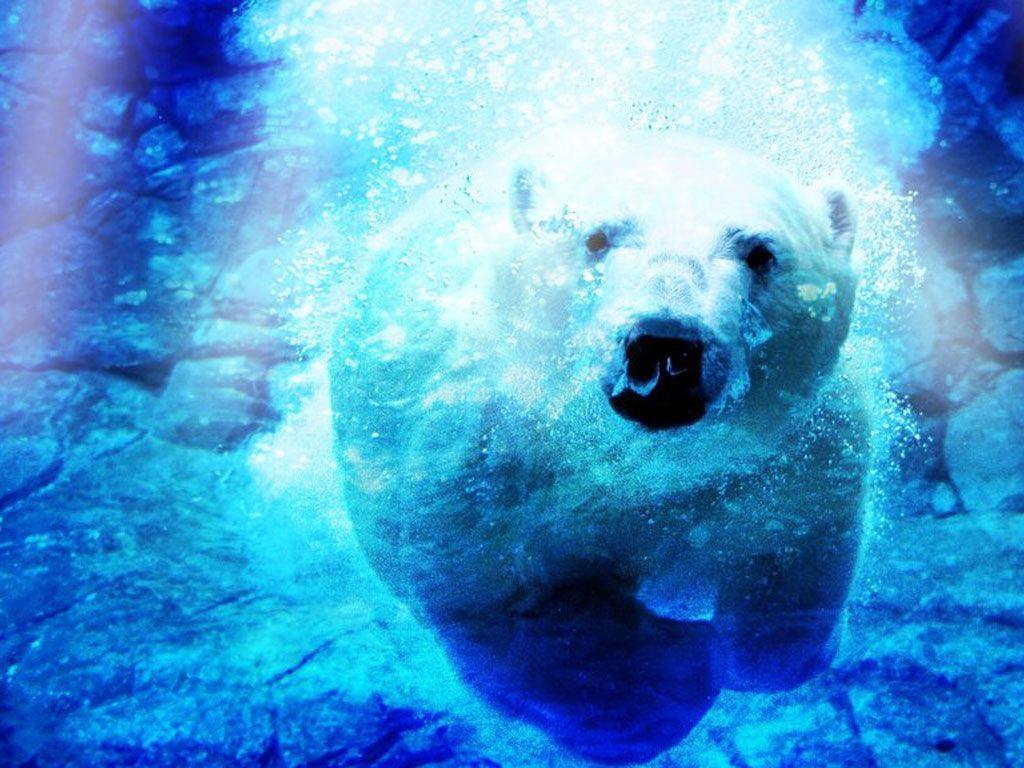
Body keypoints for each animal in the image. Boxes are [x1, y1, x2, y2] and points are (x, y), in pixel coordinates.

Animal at [330, 126, 869, 763]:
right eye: (595, 237)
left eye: (760, 252)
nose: (665, 345)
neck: (626, 461)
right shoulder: (473, 464)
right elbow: (509, 608)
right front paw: (671, 678)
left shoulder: (794, 449)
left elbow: (792, 556)